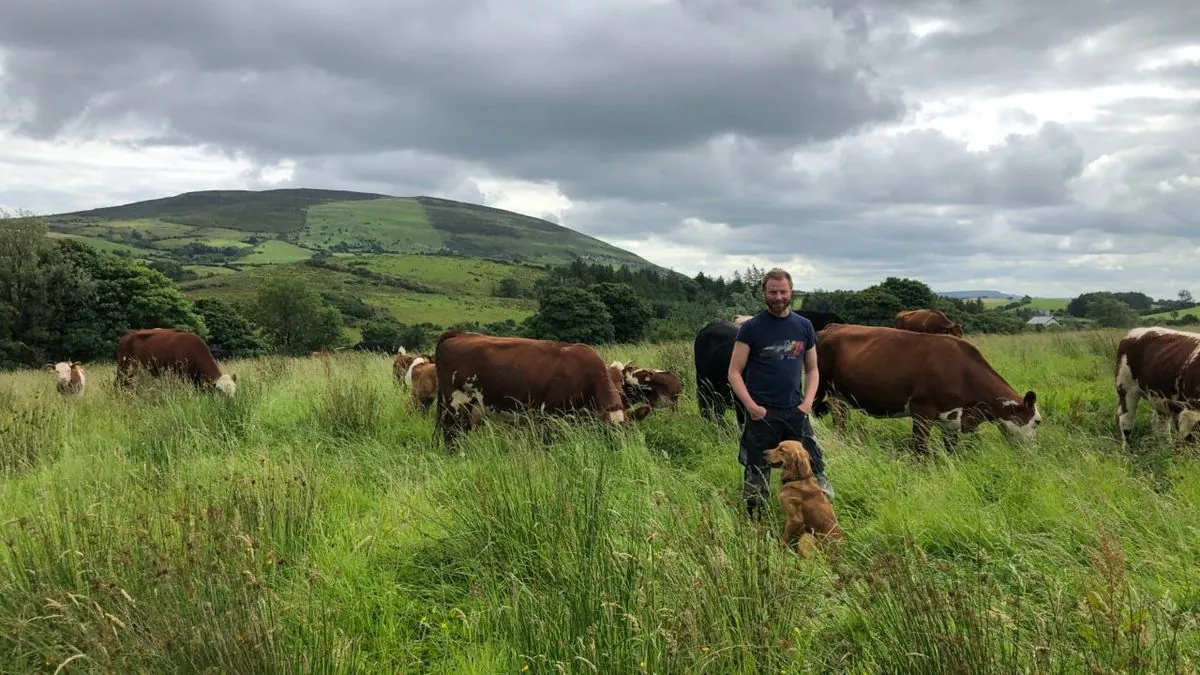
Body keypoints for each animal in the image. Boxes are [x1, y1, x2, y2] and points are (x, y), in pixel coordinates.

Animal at [436, 329, 652, 444]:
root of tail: (458, 334)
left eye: (628, 432)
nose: (618, 449)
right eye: (607, 432)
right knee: (451, 436)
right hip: (455, 404)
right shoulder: (550, 414)